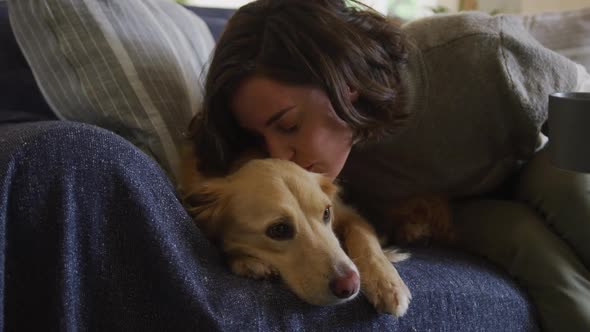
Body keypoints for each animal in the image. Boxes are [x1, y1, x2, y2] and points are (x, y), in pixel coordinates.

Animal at [180, 153, 412, 316]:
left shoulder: (349, 214)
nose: (351, 285)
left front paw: (388, 283)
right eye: (279, 230)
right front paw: (248, 263)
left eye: (326, 213)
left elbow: (365, 239)